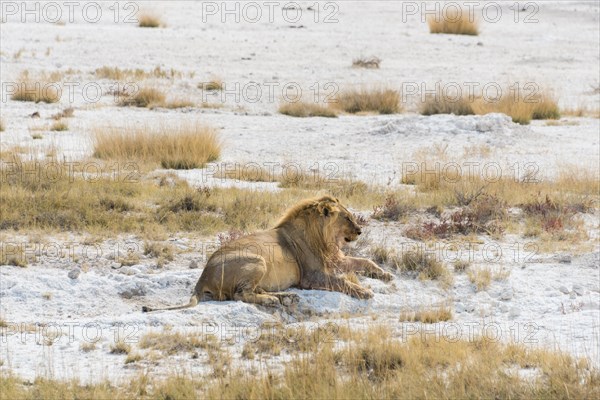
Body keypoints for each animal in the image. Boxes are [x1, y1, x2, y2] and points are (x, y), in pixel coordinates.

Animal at [143, 195, 392, 310]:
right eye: (347, 218)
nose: (360, 231)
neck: (326, 239)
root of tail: (202, 277)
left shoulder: (336, 260)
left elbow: (365, 261)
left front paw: (386, 274)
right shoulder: (313, 277)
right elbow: (342, 282)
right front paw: (364, 291)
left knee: (254, 290)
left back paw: (285, 297)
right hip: (257, 259)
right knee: (240, 295)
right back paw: (273, 300)